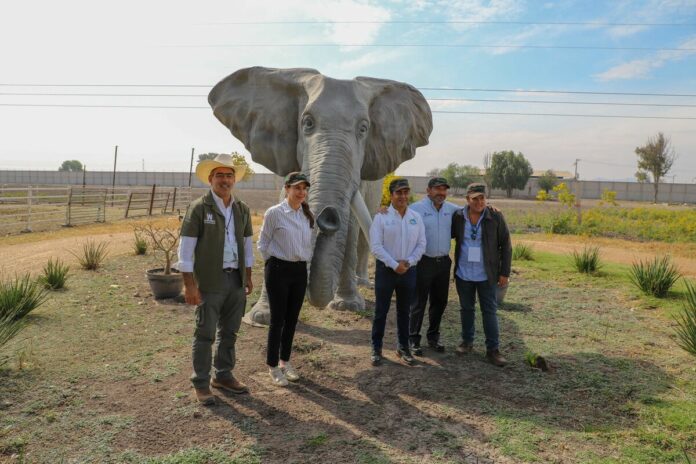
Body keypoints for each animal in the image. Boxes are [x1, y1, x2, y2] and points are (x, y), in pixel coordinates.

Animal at [209, 67, 432, 324]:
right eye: (307, 123)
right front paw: (261, 317)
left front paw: (347, 305)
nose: (328, 216)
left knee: (362, 236)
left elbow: (351, 227)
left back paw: (362, 284)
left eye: (364, 128)